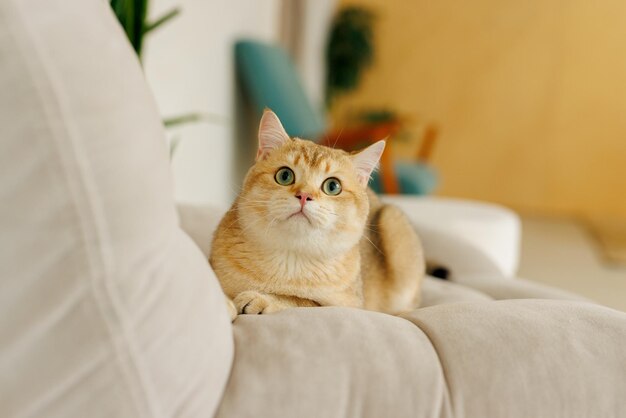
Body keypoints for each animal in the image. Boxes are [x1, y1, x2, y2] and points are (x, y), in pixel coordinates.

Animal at [210, 109, 424, 316]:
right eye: (284, 175)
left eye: (333, 186)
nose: (304, 195)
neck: (292, 256)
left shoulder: (350, 305)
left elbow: (301, 301)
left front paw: (262, 298)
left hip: (393, 222)